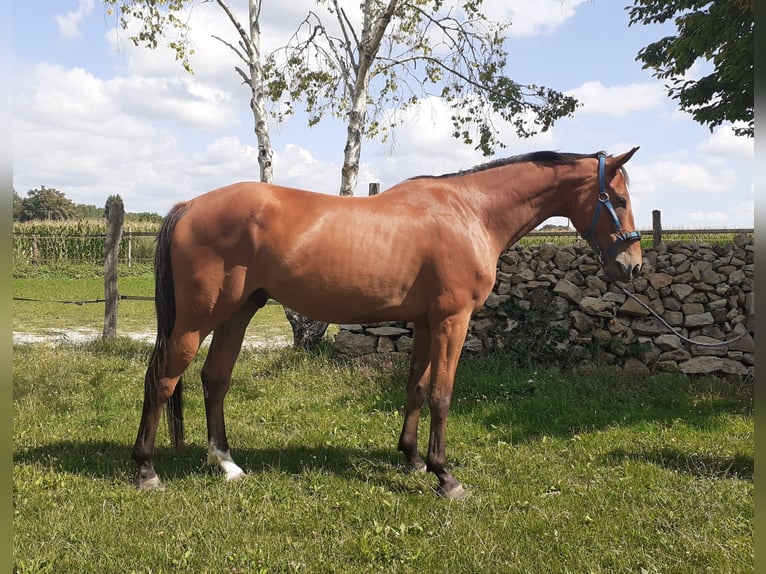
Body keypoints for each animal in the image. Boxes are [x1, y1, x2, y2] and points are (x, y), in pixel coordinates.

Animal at [132, 149, 643, 498]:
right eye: (617, 198)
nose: (633, 266)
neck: (469, 212)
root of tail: (188, 205)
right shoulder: (452, 322)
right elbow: (442, 395)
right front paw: (445, 476)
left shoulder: (425, 323)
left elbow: (415, 389)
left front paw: (413, 459)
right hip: (195, 321)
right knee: (162, 380)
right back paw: (146, 471)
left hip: (238, 313)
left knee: (214, 379)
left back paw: (226, 464)